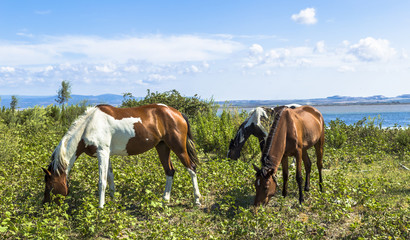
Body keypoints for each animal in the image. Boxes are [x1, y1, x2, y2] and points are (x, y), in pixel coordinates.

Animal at [42, 104, 202, 207]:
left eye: (49, 186)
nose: (45, 205)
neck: (89, 125)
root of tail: (178, 113)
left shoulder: (102, 152)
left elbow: (102, 182)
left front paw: (101, 208)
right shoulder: (107, 154)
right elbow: (110, 178)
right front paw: (113, 202)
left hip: (178, 147)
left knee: (191, 168)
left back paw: (197, 200)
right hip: (162, 147)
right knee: (170, 171)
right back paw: (165, 200)